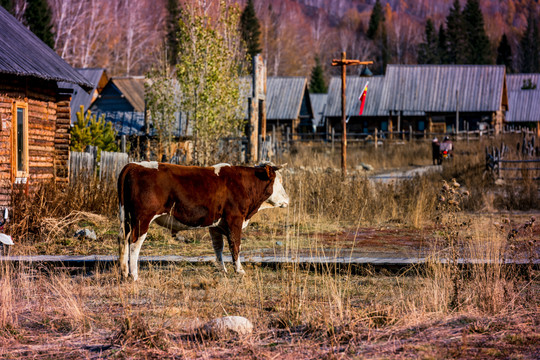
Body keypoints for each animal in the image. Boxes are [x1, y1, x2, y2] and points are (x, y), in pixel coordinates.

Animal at [116, 162, 288, 280]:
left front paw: (222, 269)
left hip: (127, 219)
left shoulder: (216, 224)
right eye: (279, 181)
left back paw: (124, 272)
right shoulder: (235, 219)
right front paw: (239, 270)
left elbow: (218, 247)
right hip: (142, 219)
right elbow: (235, 245)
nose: (288, 199)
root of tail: (133, 165)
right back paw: (134, 275)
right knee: (134, 243)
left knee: (123, 241)